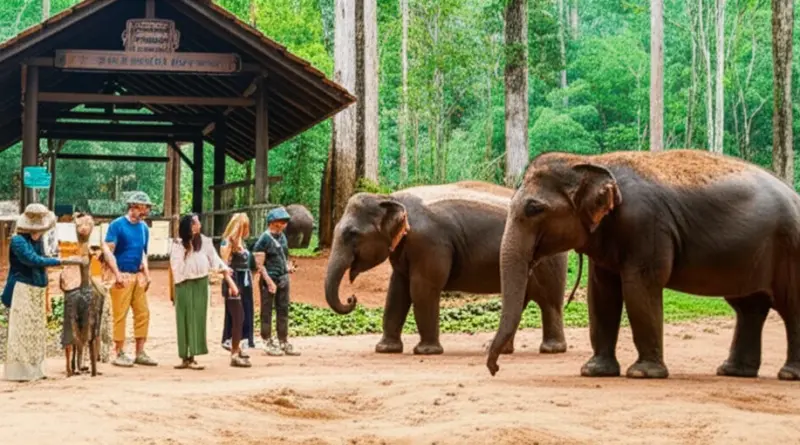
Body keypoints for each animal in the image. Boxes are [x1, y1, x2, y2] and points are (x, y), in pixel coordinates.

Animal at [324, 180, 573, 355]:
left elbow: (422, 290)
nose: (351, 298)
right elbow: (397, 292)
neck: (391, 197)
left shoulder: (429, 243)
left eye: (352, 234)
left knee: (548, 302)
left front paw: (426, 352)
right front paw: (386, 349)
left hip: (549, 260)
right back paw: (497, 350)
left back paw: (550, 350)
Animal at [486, 149, 800, 382]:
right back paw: (733, 372)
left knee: (789, 306)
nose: (495, 368)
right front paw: (594, 371)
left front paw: (643, 373)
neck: (594, 162)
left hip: (790, 246)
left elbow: (640, 287)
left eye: (534, 208)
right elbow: (602, 294)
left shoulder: (646, 224)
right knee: (749, 307)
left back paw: (788, 375)